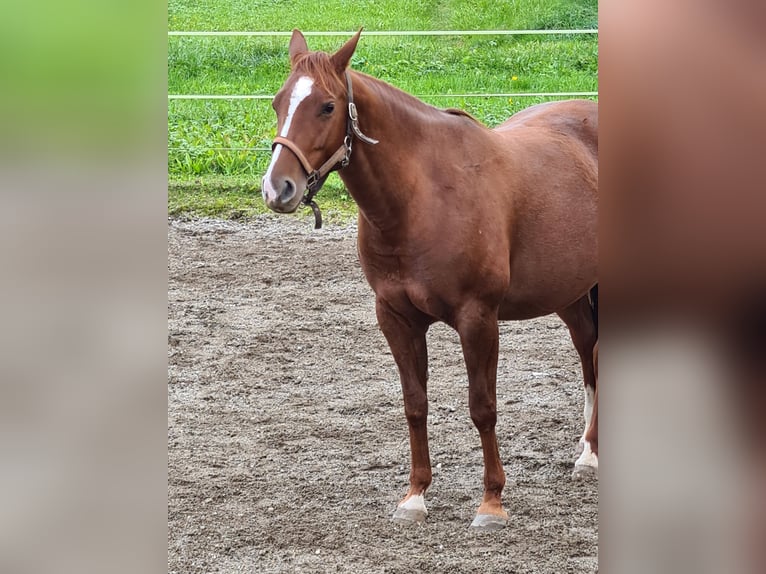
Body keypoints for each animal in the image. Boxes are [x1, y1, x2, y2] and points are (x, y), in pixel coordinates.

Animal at [261, 29, 598, 530]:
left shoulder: (478, 318)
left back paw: (592, 453)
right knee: (588, 351)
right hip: (569, 291)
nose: (277, 188)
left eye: (327, 106)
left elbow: (483, 407)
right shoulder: (396, 318)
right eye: (278, 101)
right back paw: (586, 448)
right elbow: (415, 404)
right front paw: (415, 496)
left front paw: (491, 502)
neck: (423, 197)